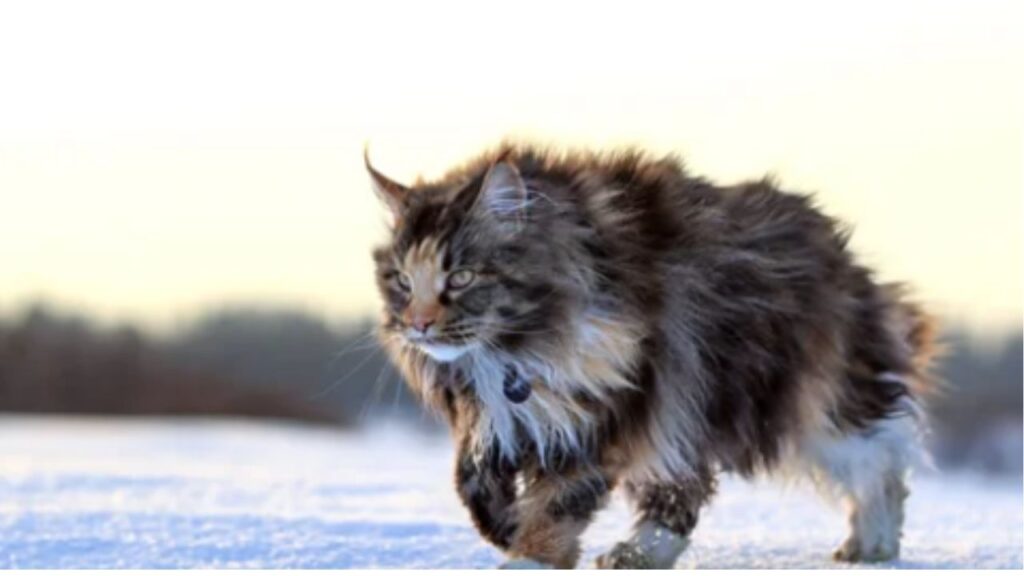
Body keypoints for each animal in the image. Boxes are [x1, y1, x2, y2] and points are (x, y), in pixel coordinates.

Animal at [366, 142, 937, 565]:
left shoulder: (610, 405)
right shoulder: (500, 415)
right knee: (683, 491)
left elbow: (557, 505)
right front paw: (507, 527)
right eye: (401, 281)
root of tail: (839, 250)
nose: (418, 325)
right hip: (694, 406)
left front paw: (530, 557)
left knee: (880, 457)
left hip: (802, 389)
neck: (511, 350)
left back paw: (874, 543)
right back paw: (638, 554)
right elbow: (473, 482)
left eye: (461, 277)